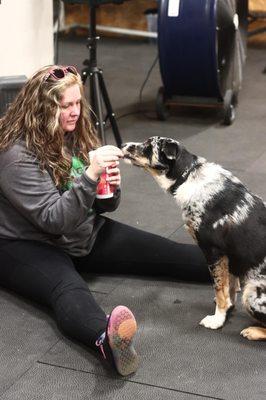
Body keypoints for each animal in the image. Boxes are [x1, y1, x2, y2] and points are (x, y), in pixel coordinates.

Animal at [122, 137, 266, 340]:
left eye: (148, 146)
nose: (122, 145)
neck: (188, 175)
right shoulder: (228, 256)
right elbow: (228, 285)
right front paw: (228, 305)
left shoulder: (213, 252)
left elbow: (219, 289)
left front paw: (217, 319)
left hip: (252, 290)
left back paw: (253, 331)